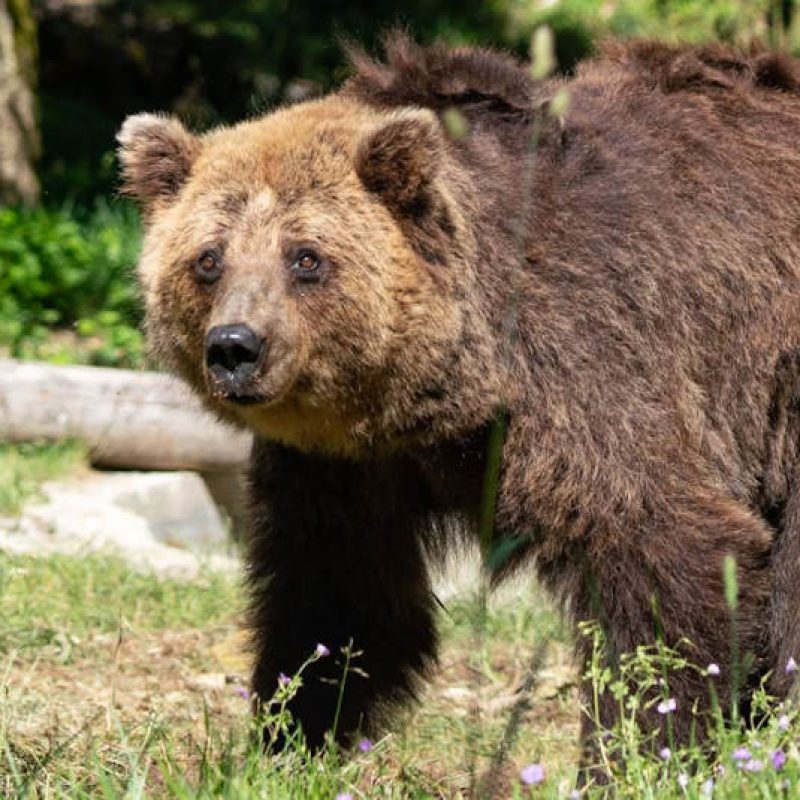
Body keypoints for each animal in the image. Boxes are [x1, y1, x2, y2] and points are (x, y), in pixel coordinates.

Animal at [117, 36, 800, 768]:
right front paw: (292, 737)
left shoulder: (586, 364)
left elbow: (666, 545)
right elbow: (336, 592)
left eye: (305, 257)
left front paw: (639, 752)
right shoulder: (344, 465)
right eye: (208, 258)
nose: (235, 346)